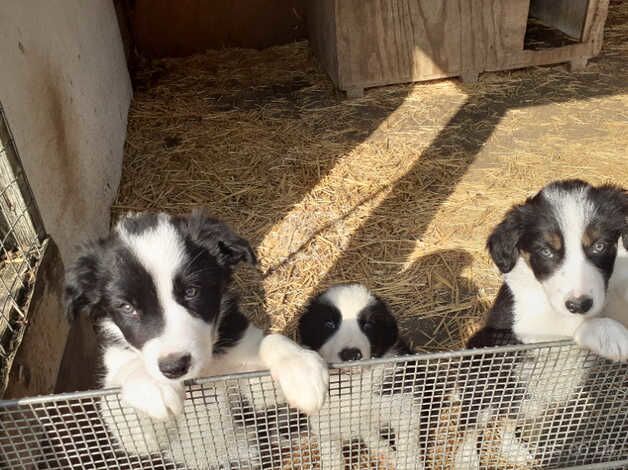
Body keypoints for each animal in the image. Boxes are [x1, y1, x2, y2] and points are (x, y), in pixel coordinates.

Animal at [63, 211, 328, 468]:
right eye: (127, 307)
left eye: (192, 292)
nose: (174, 366)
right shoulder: (138, 441)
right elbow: (122, 390)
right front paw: (151, 380)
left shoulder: (249, 380)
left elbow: (268, 342)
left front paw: (300, 368)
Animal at [296, 282, 424, 470]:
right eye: (329, 324)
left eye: (368, 325)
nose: (351, 354)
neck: (354, 383)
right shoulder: (325, 420)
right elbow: (332, 455)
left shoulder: (400, 401)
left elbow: (407, 444)